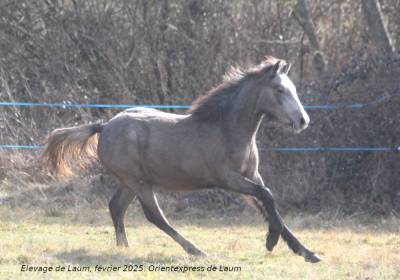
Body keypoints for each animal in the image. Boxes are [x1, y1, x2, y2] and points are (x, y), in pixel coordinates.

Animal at [43, 56, 322, 262]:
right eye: (279, 89)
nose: (303, 120)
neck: (227, 130)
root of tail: (104, 126)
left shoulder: (251, 176)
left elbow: (270, 207)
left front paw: (307, 253)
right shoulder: (229, 180)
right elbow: (268, 196)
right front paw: (271, 241)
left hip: (131, 182)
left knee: (116, 207)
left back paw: (124, 247)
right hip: (137, 182)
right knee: (155, 216)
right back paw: (196, 250)